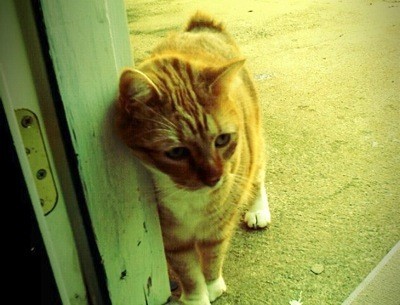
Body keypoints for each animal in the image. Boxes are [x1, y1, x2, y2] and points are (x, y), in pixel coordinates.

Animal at [117, 10, 270, 302]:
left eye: (222, 140)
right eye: (176, 152)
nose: (214, 178)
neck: (188, 198)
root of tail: (200, 26)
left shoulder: (219, 225)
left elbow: (212, 255)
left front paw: (212, 287)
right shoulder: (171, 239)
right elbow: (187, 270)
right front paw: (197, 297)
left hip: (254, 143)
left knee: (257, 176)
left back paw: (258, 209)